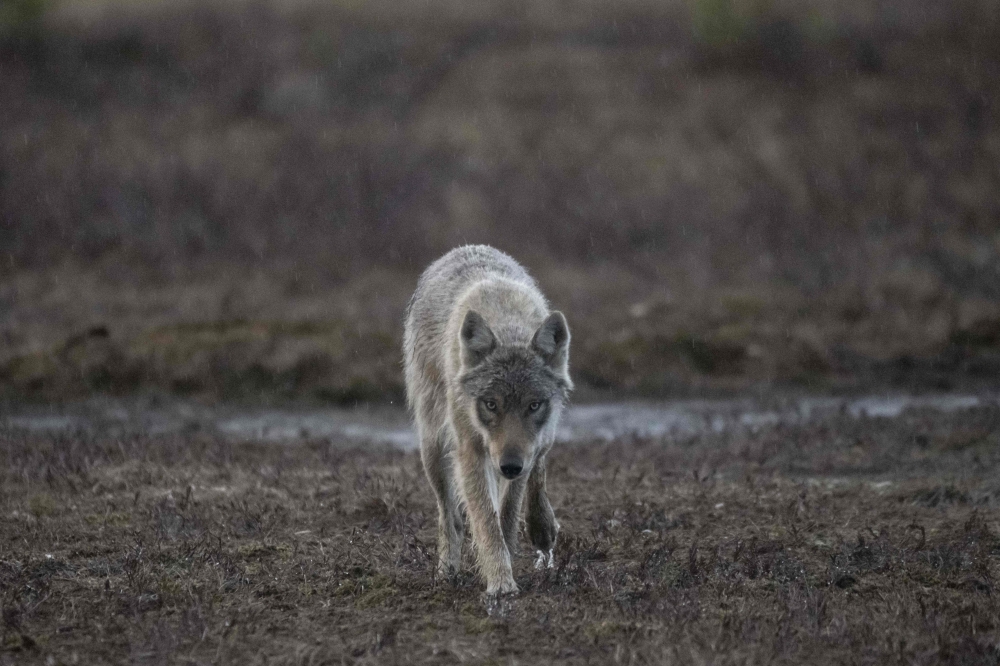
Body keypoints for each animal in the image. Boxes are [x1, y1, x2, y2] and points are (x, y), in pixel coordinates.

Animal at [404, 245, 572, 595]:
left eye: (534, 405)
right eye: (491, 404)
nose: (509, 466)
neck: (506, 322)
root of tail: (463, 248)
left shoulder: (527, 450)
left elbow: (507, 513)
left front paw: (518, 547)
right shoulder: (471, 451)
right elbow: (484, 520)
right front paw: (500, 583)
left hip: (539, 441)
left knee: (537, 469)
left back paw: (542, 528)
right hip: (434, 448)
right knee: (451, 516)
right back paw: (447, 572)